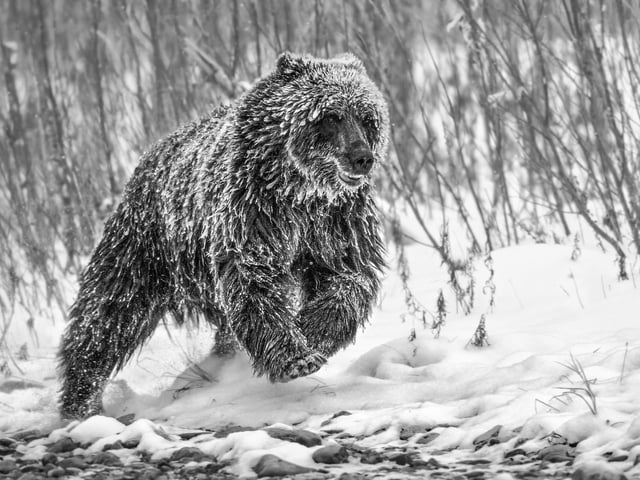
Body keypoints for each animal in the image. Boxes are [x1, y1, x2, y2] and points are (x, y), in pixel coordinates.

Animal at [58, 52, 390, 419]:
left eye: (368, 118)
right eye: (331, 116)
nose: (362, 157)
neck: (301, 189)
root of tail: (149, 155)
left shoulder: (334, 223)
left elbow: (347, 278)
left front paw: (311, 333)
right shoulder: (255, 214)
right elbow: (254, 281)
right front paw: (294, 357)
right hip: (146, 241)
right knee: (110, 310)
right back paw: (81, 398)